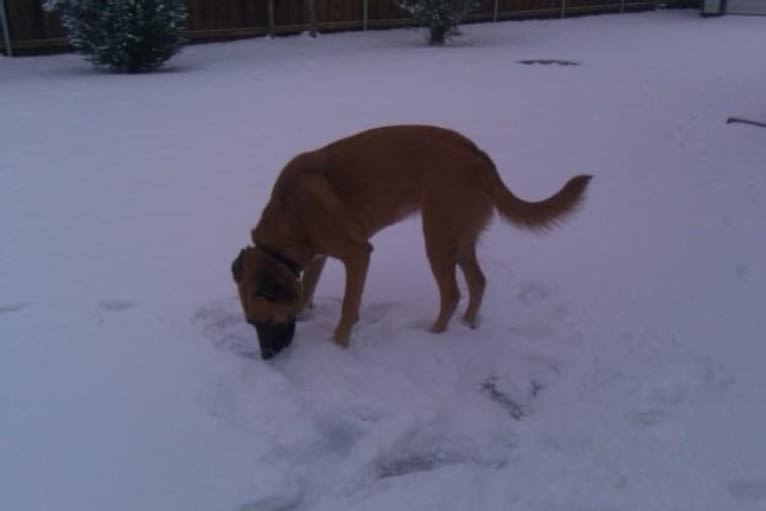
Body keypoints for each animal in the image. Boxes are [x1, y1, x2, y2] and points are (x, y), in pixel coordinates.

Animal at [231, 125, 592, 358]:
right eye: (250, 323)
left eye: (267, 321)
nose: (266, 357)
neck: (290, 212)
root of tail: (480, 157)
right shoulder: (318, 255)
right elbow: (309, 287)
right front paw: (308, 311)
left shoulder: (358, 254)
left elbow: (348, 305)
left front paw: (338, 344)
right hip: (460, 241)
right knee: (478, 282)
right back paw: (468, 323)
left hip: (437, 238)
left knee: (452, 293)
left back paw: (435, 334)